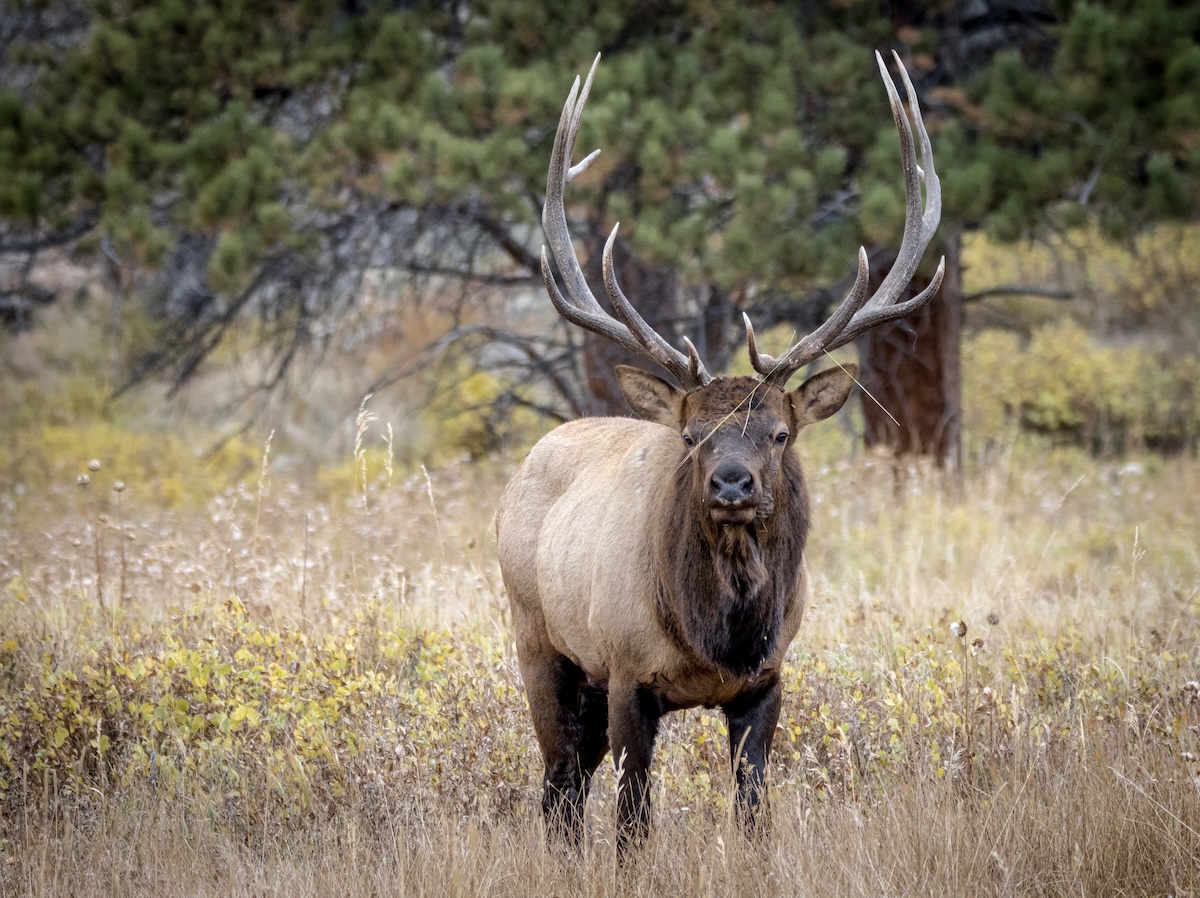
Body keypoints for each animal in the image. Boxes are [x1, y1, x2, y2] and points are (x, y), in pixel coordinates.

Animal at [496, 51, 942, 850]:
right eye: (691, 433)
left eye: (780, 433)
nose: (732, 484)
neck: (717, 638)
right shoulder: (627, 674)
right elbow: (633, 821)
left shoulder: (766, 682)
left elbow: (755, 811)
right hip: (541, 643)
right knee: (558, 785)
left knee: (566, 785)